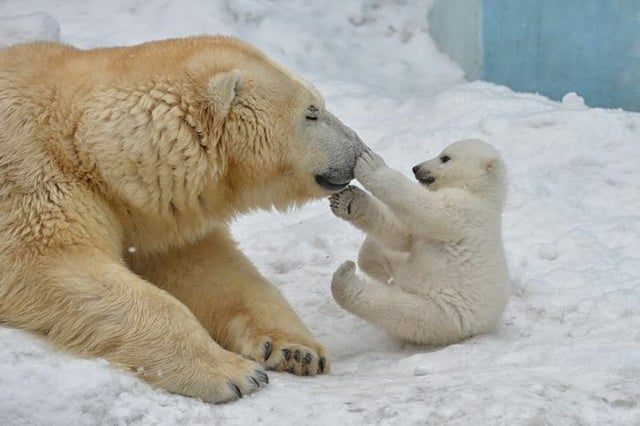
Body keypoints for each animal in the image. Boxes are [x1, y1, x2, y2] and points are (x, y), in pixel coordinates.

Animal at [0, 35, 364, 402]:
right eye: (311, 112)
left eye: (317, 104)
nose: (359, 150)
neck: (83, 144)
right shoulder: (32, 180)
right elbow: (50, 263)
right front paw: (235, 373)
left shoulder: (150, 214)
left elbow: (209, 270)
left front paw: (298, 350)